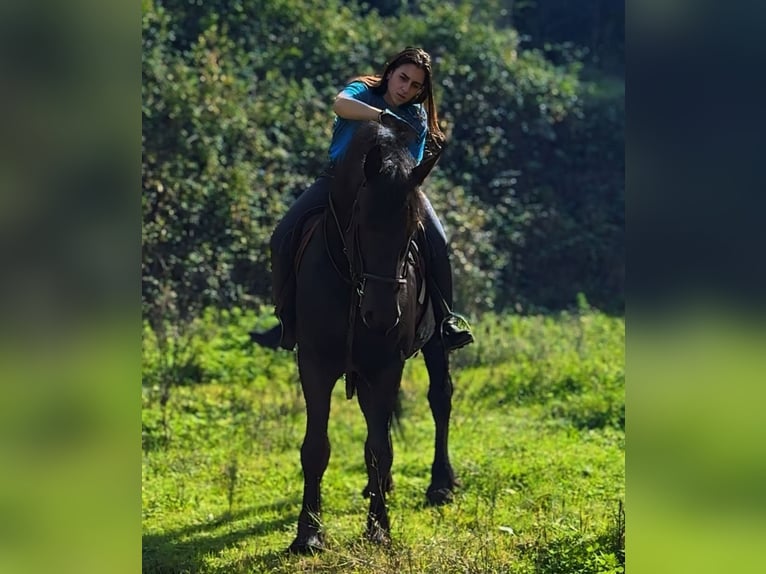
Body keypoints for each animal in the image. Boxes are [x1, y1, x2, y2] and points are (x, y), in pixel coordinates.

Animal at [288, 120, 459, 553]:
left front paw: (379, 528)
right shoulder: (313, 364)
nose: (380, 315)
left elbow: (379, 449)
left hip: (434, 344)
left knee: (440, 398)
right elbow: (316, 447)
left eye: (414, 229)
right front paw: (309, 533)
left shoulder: (385, 365)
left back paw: (441, 484)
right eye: (361, 220)